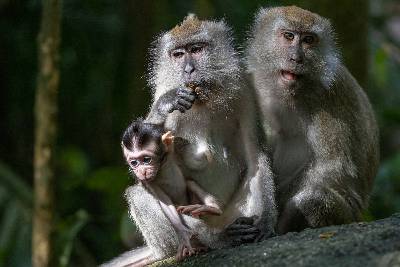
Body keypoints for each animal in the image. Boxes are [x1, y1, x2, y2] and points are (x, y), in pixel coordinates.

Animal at [120, 120, 223, 264]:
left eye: (146, 159)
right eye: (134, 163)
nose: (141, 171)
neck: (162, 165)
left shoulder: (176, 149)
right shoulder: (147, 182)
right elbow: (165, 202)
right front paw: (184, 236)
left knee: (189, 183)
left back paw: (212, 208)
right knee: (134, 193)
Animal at [245, 6, 380, 236]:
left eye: (308, 40)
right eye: (289, 36)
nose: (296, 58)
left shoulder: (329, 95)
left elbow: (332, 165)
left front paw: (271, 216)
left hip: (348, 216)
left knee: (313, 199)